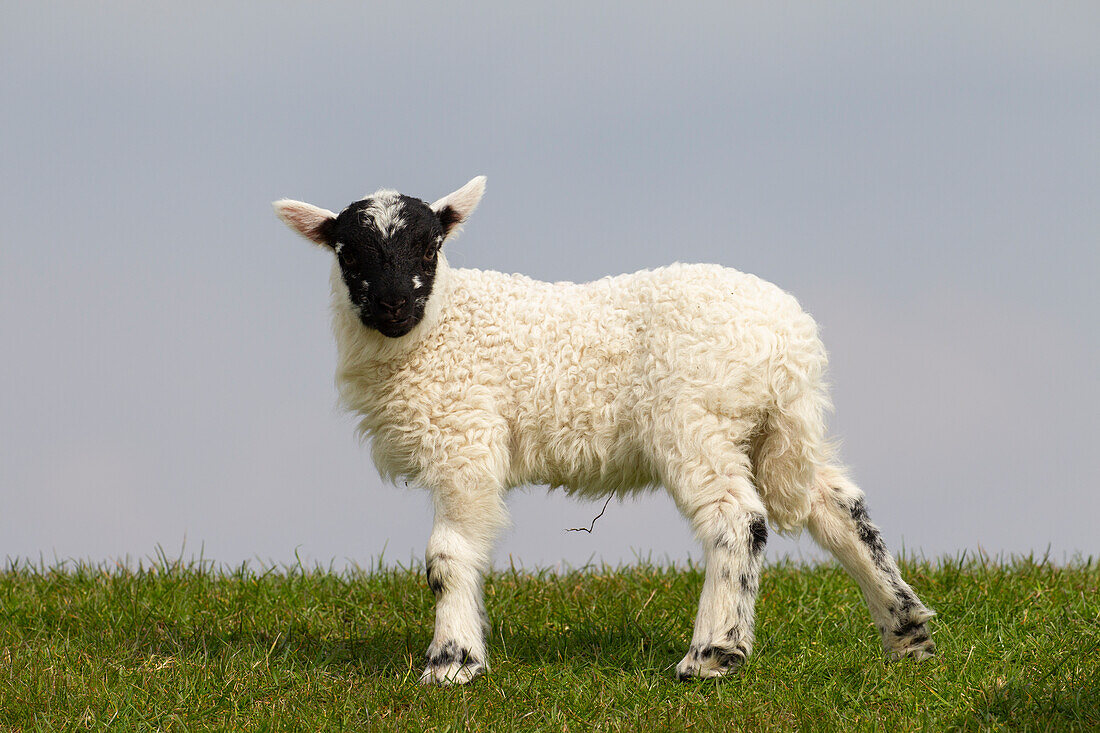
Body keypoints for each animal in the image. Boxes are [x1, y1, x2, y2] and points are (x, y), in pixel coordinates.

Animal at [270, 173, 932, 682]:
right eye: (348, 253)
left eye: (429, 247)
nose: (393, 306)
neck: (440, 326)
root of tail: (790, 342)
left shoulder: (465, 439)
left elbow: (447, 556)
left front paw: (452, 662)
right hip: (771, 427)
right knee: (836, 504)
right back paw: (907, 633)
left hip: (696, 418)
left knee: (738, 520)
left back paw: (712, 656)